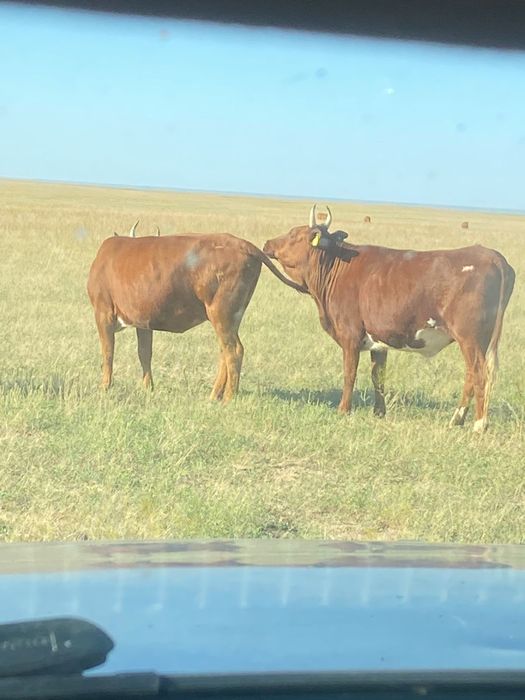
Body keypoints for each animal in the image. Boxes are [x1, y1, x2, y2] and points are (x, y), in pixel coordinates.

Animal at [87, 227, 305, 402]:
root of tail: (242, 243)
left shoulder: (103, 312)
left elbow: (108, 352)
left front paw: (104, 387)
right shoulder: (143, 321)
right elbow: (144, 353)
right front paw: (147, 388)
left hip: (221, 313)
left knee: (234, 351)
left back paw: (228, 397)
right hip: (230, 317)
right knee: (225, 350)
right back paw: (215, 394)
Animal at [263, 205, 515, 432]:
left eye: (294, 234)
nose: (267, 244)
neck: (338, 267)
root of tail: (493, 256)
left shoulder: (350, 336)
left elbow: (349, 373)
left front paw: (343, 410)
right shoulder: (379, 341)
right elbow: (378, 377)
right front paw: (379, 412)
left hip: (470, 338)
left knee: (479, 373)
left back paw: (478, 425)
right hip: (479, 340)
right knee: (472, 375)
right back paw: (456, 420)